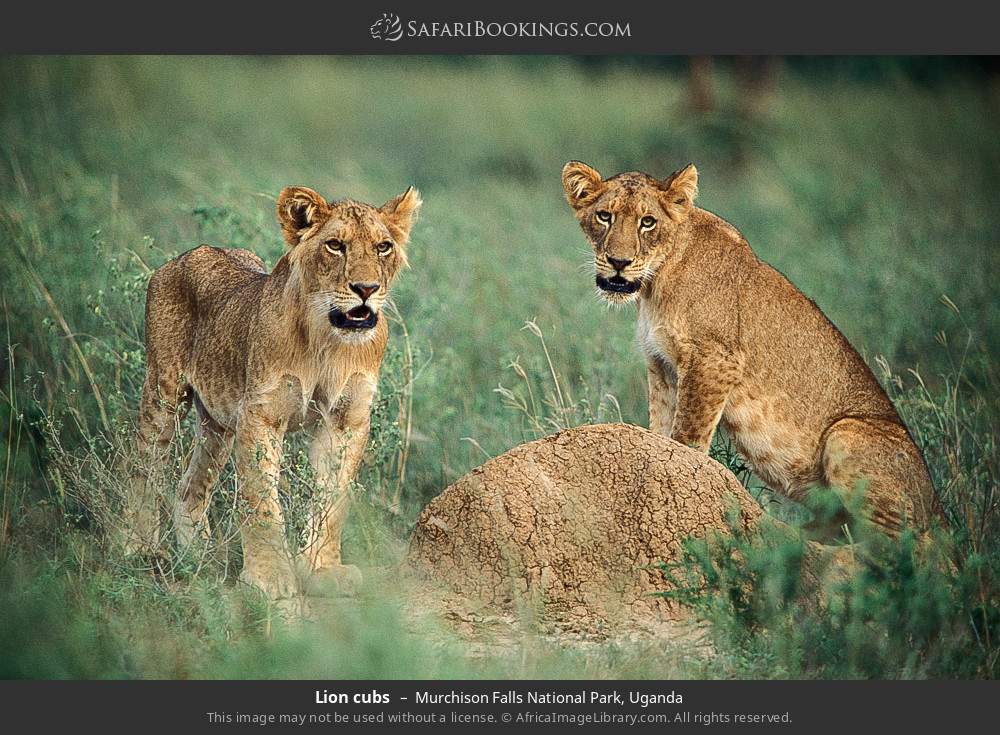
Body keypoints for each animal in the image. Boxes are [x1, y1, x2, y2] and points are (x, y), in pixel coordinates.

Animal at [125, 184, 421, 598]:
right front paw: (269, 580)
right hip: (163, 391)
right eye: (335, 246)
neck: (326, 339)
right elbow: (262, 503)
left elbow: (333, 499)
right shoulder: (261, 415)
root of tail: (190, 252)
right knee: (143, 466)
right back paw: (138, 548)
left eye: (383, 247)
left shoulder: (346, 420)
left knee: (189, 485)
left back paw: (198, 558)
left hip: (218, 420)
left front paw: (321, 571)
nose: (366, 289)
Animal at [561, 160, 942, 537]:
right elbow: (661, 431)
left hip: (845, 434)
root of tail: (937, 507)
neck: (655, 284)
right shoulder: (661, 363)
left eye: (648, 222)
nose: (619, 262)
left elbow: (687, 439)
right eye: (605, 216)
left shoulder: (715, 360)